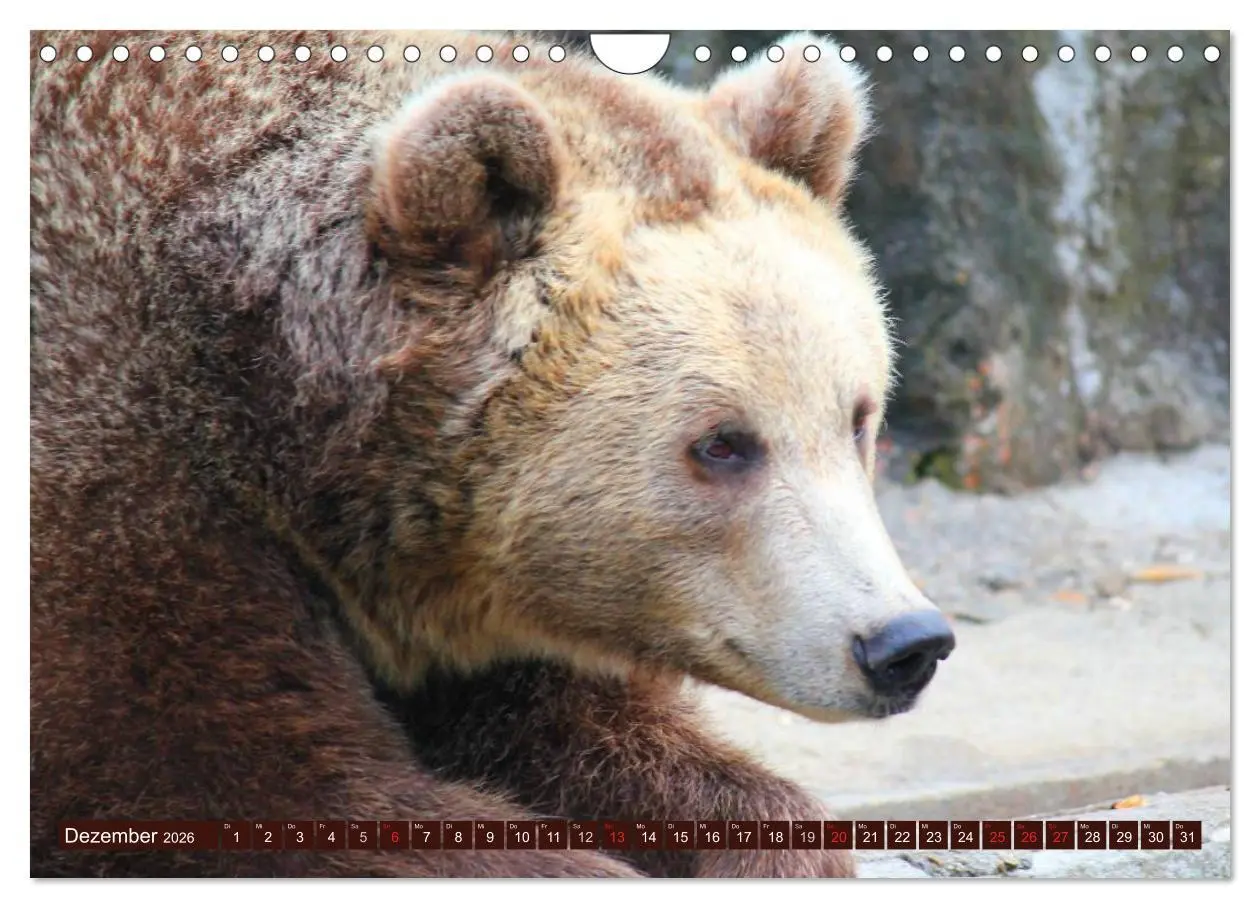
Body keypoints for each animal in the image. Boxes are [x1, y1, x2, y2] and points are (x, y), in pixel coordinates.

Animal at [30, 29, 955, 878]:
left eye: (857, 417)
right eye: (722, 443)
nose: (904, 642)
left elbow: (578, 734)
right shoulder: (120, 459)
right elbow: (226, 781)